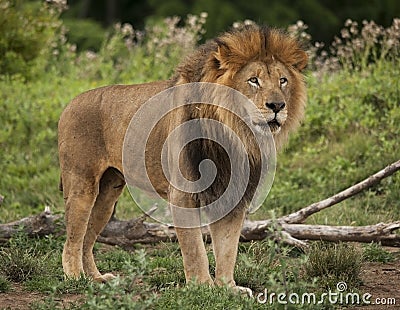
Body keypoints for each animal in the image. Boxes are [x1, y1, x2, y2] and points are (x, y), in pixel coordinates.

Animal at [58, 24, 306, 294]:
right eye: (254, 80)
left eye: (282, 80)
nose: (277, 105)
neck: (234, 132)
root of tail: (69, 104)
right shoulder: (183, 195)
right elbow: (194, 248)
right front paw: (203, 286)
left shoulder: (232, 194)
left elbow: (228, 247)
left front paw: (228, 288)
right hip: (82, 185)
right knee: (73, 238)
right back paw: (75, 278)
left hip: (107, 195)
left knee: (87, 238)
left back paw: (95, 278)